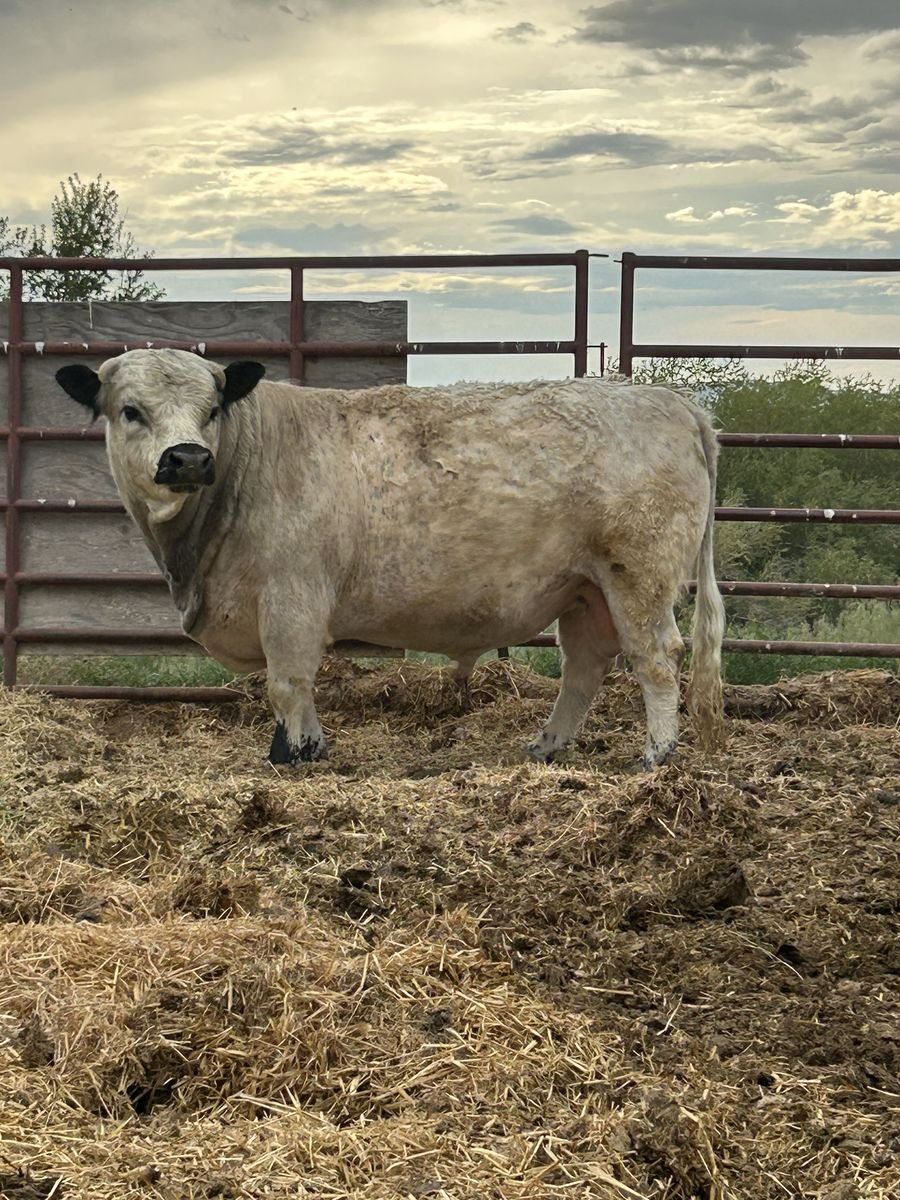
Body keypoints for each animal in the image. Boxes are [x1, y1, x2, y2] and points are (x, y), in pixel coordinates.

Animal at [56, 349, 725, 768]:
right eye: (130, 410)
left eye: (211, 409)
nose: (189, 458)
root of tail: (674, 404)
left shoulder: (292, 598)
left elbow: (288, 683)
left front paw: (294, 755)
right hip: (585, 590)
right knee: (585, 669)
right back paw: (545, 749)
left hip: (637, 576)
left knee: (657, 659)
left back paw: (653, 756)